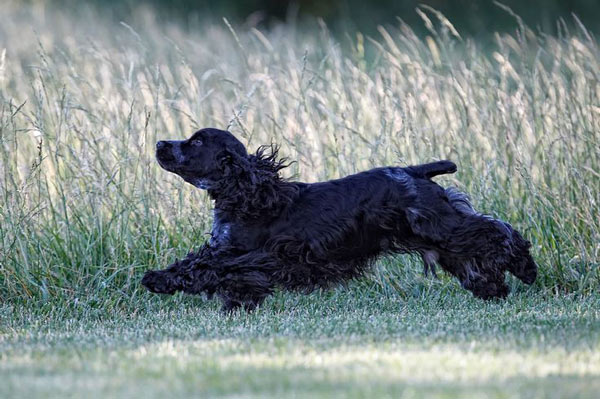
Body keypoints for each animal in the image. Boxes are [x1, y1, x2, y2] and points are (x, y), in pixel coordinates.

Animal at [142, 128, 540, 312]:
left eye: (195, 143)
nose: (160, 143)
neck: (249, 195)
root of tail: (415, 171)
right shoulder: (245, 261)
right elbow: (238, 284)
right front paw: (237, 308)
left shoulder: (239, 253)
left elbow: (198, 267)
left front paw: (157, 279)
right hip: (438, 237)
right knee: (475, 257)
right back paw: (494, 289)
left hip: (441, 226)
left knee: (497, 231)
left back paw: (526, 268)